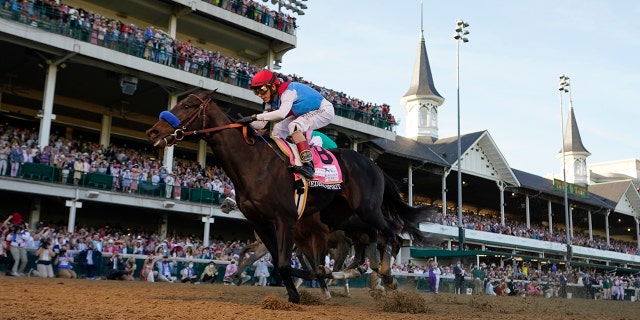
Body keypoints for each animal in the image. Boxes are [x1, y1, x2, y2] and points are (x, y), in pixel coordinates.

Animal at [145, 90, 436, 302]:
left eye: (188, 105)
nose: (154, 132)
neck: (253, 162)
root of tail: (375, 165)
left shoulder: (286, 219)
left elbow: (286, 263)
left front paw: (309, 284)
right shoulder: (264, 223)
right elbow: (277, 261)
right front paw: (298, 289)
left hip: (367, 209)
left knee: (392, 234)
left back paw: (387, 274)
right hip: (343, 217)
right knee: (372, 241)